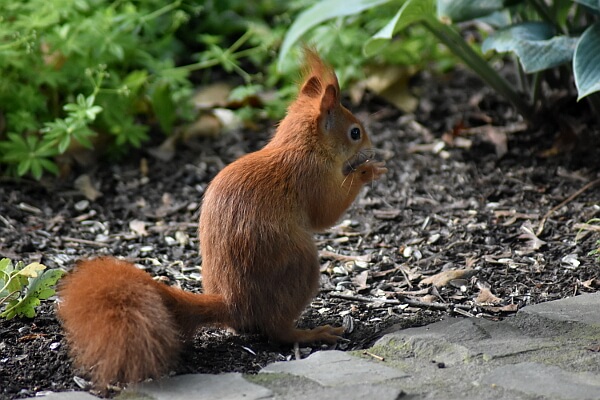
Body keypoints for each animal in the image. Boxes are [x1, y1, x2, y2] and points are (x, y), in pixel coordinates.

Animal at [56, 47, 384, 388]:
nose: (371, 149)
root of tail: (232, 303)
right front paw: (366, 171)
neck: (302, 146)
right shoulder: (312, 179)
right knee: (276, 330)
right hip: (300, 266)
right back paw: (311, 333)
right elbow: (326, 213)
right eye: (355, 132)